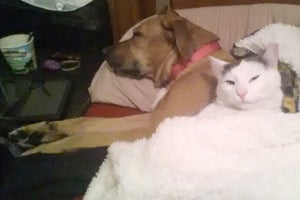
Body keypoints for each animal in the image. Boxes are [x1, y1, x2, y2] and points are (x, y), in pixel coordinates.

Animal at [8, 8, 234, 155]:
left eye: (137, 35)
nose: (103, 50)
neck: (190, 60)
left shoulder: (152, 128)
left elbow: (87, 136)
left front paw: (42, 148)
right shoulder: (150, 118)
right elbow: (87, 122)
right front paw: (39, 130)